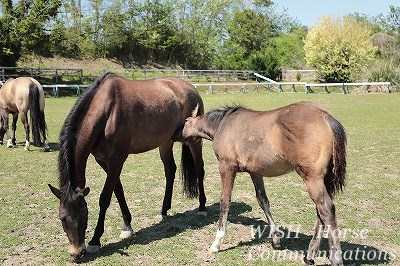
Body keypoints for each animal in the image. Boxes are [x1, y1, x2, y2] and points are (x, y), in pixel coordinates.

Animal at [47, 72, 206, 262]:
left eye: (85, 215)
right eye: (62, 218)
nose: (77, 254)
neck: (107, 111)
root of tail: (191, 88)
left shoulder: (117, 159)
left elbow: (105, 198)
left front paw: (95, 240)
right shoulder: (103, 160)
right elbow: (118, 191)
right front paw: (127, 226)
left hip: (195, 141)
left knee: (200, 170)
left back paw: (202, 207)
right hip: (166, 141)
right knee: (170, 171)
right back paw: (164, 210)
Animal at [182, 102, 346, 266]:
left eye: (185, 122)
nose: (179, 134)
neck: (223, 123)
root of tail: (326, 117)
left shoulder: (226, 167)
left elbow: (225, 201)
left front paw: (217, 242)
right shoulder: (255, 172)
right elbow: (263, 200)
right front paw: (276, 238)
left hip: (312, 177)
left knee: (326, 209)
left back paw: (335, 258)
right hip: (322, 179)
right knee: (320, 212)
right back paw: (310, 255)